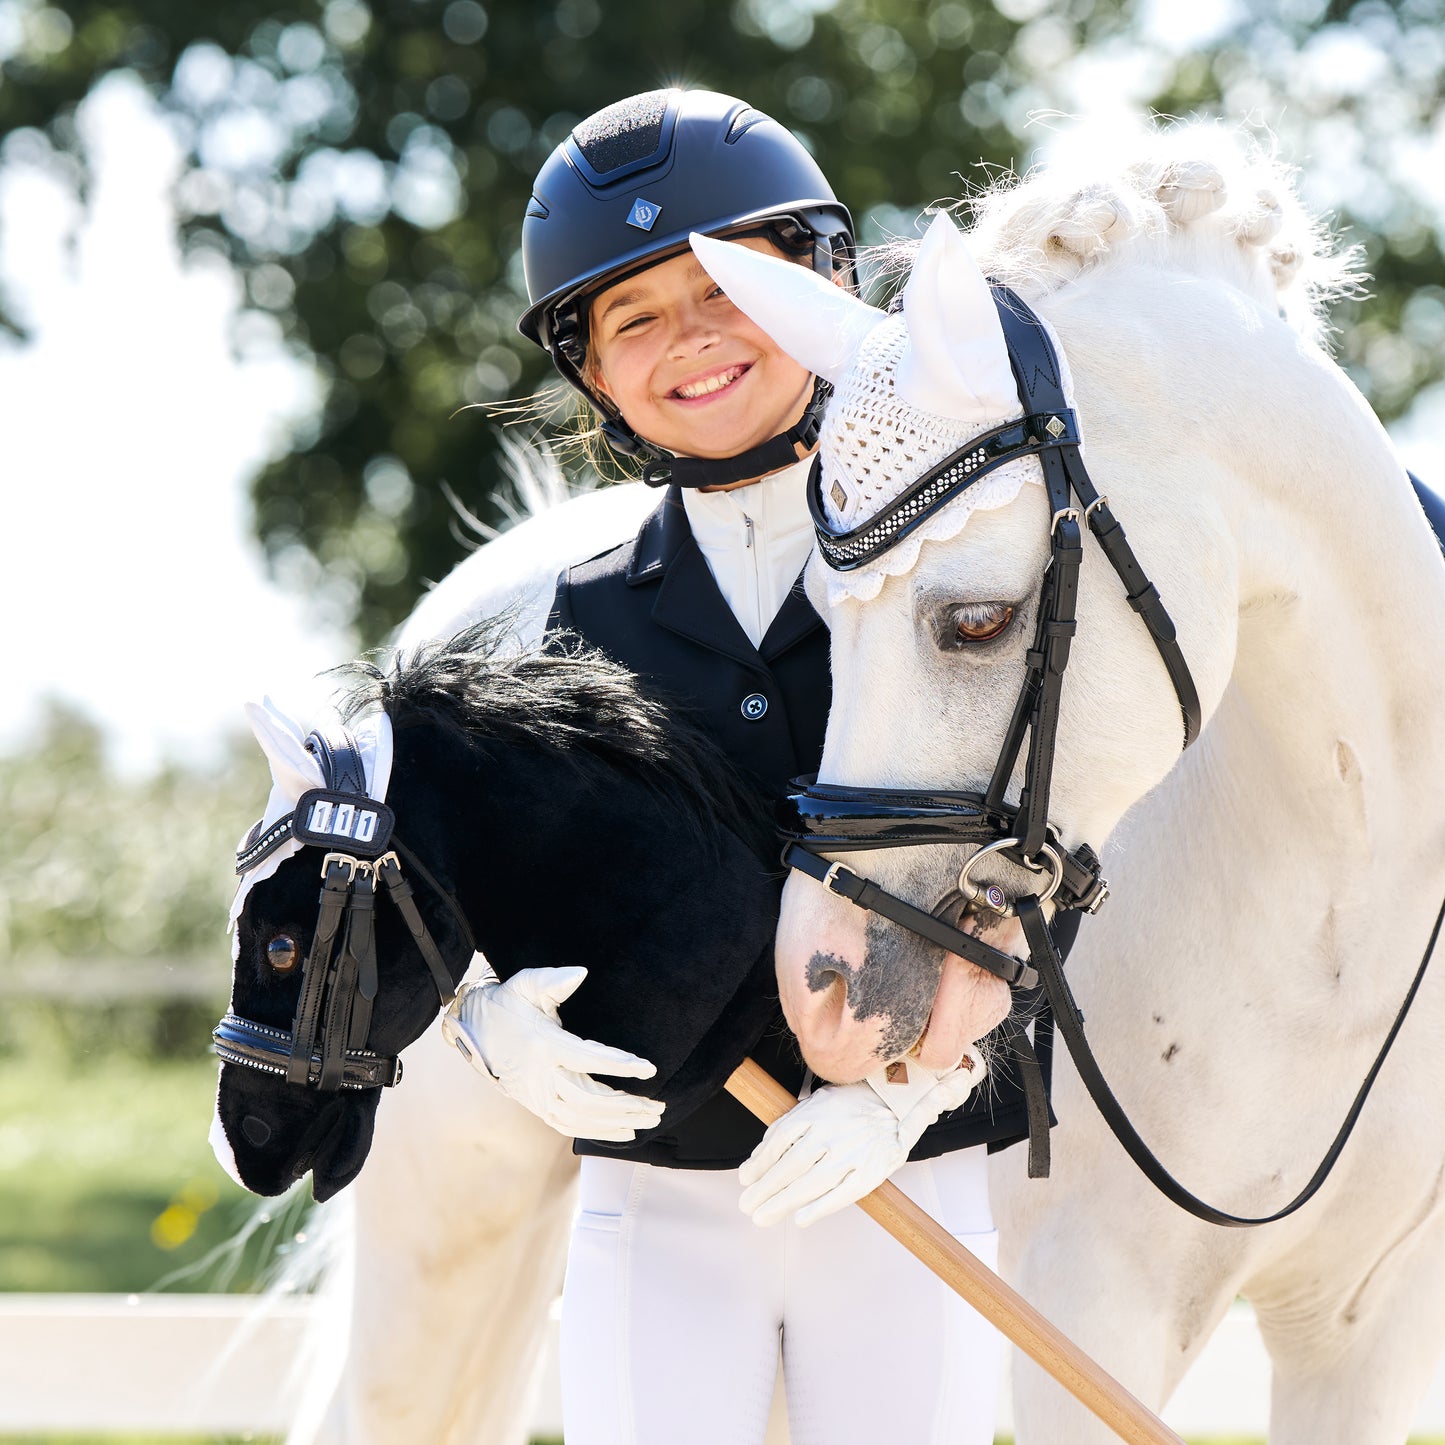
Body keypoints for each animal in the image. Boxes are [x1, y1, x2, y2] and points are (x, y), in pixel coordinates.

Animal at [683, 126, 1445, 1442]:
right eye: (820, 615)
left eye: (977, 622)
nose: (819, 989)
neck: (1346, 917)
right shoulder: (1086, 1306)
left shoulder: (1371, 1328)